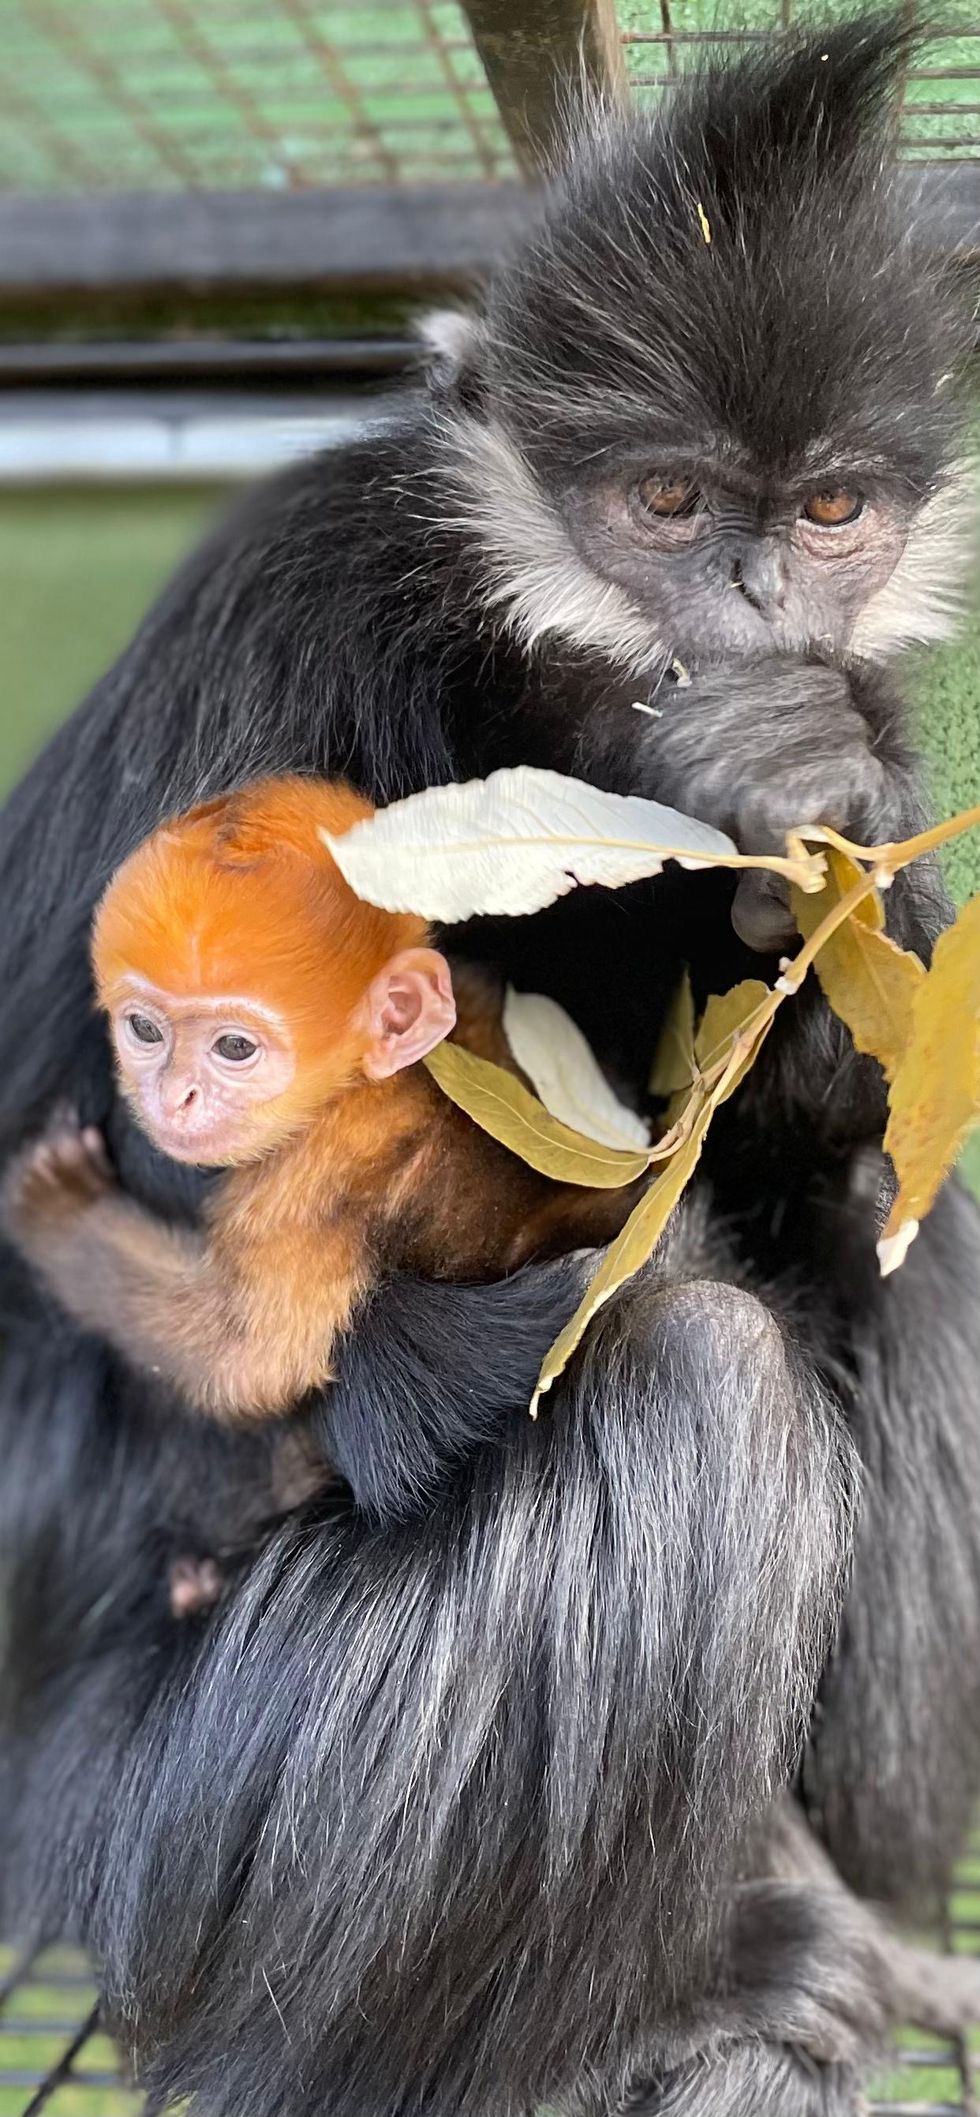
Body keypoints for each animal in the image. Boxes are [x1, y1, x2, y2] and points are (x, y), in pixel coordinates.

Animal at [1, 775, 637, 1420]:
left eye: (234, 1047)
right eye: (145, 1030)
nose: (175, 1095)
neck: (375, 1081)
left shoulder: (308, 1181)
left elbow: (244, 1353)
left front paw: (58, 1208)